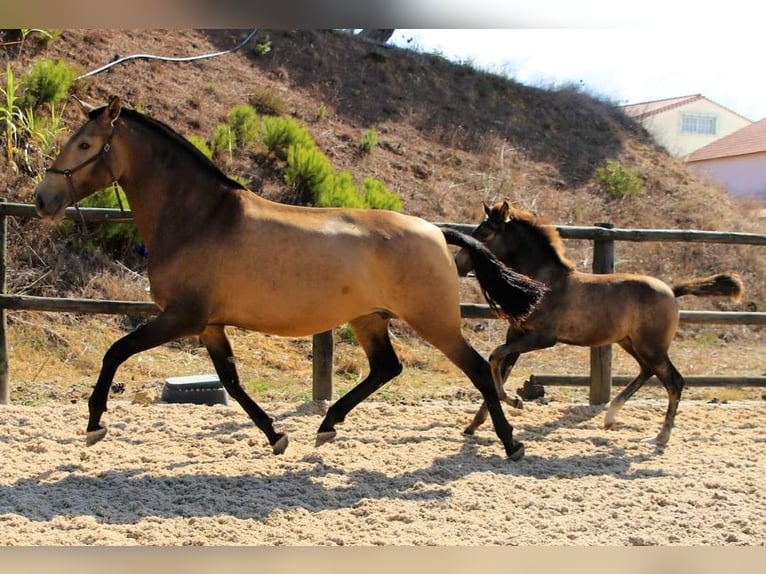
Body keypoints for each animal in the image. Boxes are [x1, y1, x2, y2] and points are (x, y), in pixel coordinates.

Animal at [34, 97, 544, 462]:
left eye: (85, 145)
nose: (43, 199)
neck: (201, 218)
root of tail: (436, 231)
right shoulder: (210, 325)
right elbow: (232, 381)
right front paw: (276, 436)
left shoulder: (181, 317)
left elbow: (115, 351)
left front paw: (95, 425)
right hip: (369, 318)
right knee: (387, 368)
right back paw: (327, 426)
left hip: (433, 321)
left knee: (477, 369)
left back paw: (511, 443)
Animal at [456, 200, 744, 448]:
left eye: (484, 233)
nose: (458, 264)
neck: (541, 284)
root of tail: (672, 292)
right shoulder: (515, 335)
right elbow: (499, 368)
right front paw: (474, 425)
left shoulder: (541, 338)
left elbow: (495, 357)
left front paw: (515, 401)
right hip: (630, 342)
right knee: (647, 371)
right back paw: (611, 417)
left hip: (651, 346)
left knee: (674, 382)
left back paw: (659, 438)